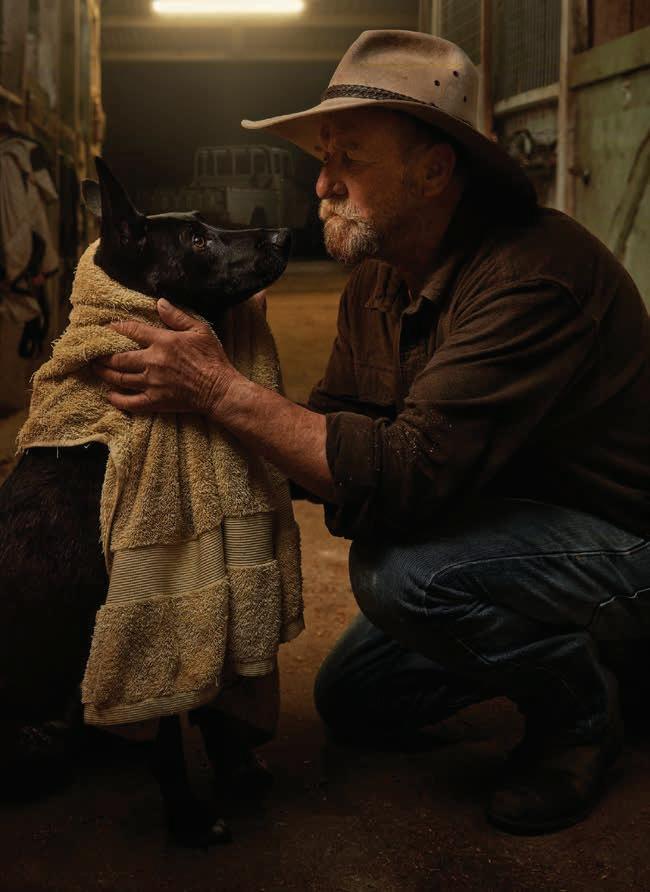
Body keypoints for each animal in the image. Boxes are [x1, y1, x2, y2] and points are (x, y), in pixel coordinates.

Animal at [0, 157, 292, 847]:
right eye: (195, 240)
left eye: (209, 225)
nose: (285, 235)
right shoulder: (129, 618)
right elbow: (168, 738)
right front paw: (188, 819)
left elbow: (213, 712)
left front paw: (237, 768)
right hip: (36, 742)